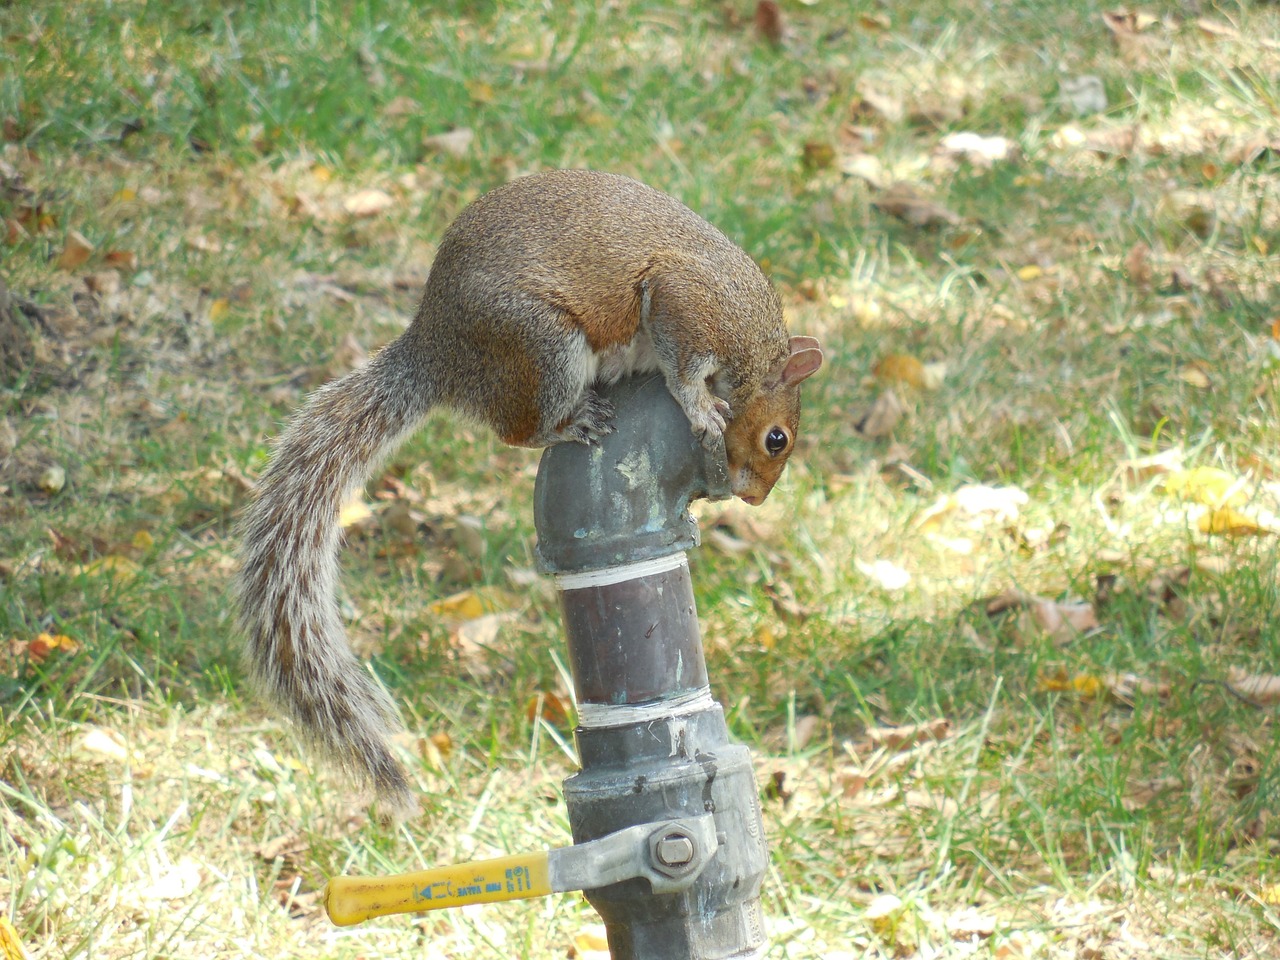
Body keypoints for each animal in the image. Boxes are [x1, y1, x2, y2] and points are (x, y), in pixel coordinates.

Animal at [235, 171, 824, 819]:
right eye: (776, 439)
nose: (755, 500)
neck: (753, 349)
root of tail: (434, 350)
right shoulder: (689, 303)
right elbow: (684, 364)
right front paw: (700, 407)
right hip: (541, 345)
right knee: (515, 429)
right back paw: (568, 423)